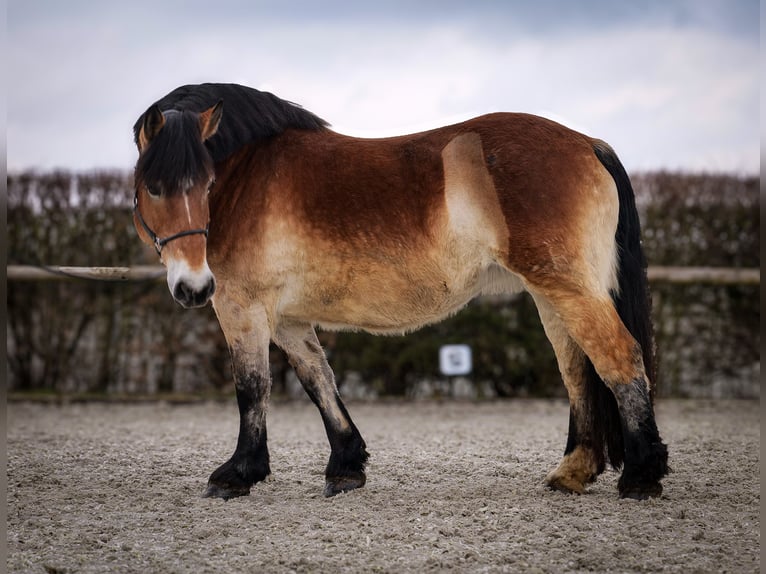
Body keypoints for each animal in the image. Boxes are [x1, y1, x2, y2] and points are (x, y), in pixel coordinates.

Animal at [135, 83, 668, 502]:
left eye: (206, 184)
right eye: (155, 187)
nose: (193, 287)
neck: (248, 178)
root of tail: (588, 144)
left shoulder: (241, 307)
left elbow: (251, 387)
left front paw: (237, 474)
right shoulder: (286, 319)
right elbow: (318, 380)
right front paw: (346, 466)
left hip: (567, 288)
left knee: (618, 358)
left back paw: (642, 477)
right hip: (551, 295)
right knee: (578, 371)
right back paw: (574, 471)